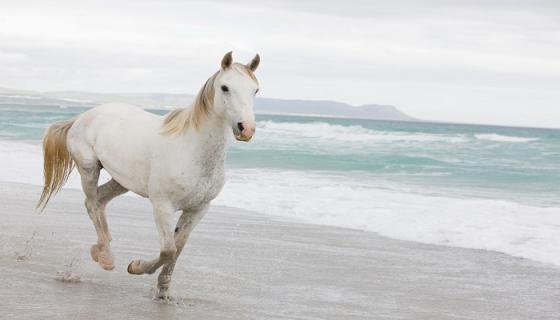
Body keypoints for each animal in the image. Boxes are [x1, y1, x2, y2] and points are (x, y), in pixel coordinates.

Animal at [37, 51, 260, 298]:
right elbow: (168, 250)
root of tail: (82, 117)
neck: (191, 149)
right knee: (92, 203)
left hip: (122, 181)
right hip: (89, 168)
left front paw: (163, 291)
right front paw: (135, 267)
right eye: (225, 87)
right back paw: (105, 256)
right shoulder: (162, 206)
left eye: (255, 90)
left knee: (99, 200)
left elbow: (178, 248)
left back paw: (103, 249)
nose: (246, 128)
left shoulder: (198, 209)